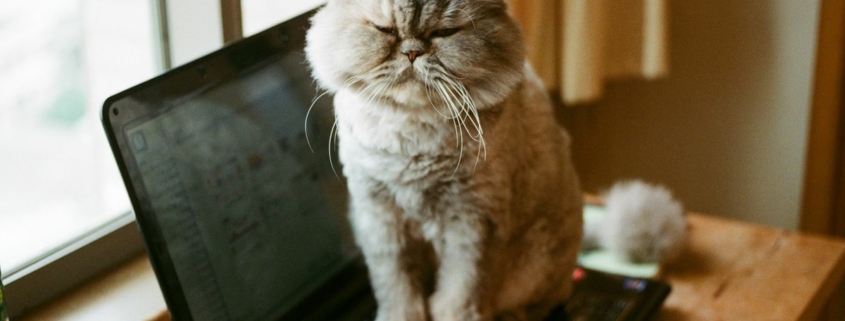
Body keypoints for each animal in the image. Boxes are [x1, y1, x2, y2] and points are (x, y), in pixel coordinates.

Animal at [304, 1, 684, 318]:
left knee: (535, 304)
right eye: (385, 30)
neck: (411, 138)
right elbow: (399, 294)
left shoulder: (472, 224)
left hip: (539, 260)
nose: (412, 52)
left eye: (444, 33)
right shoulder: (381, 220)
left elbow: (457, 298)